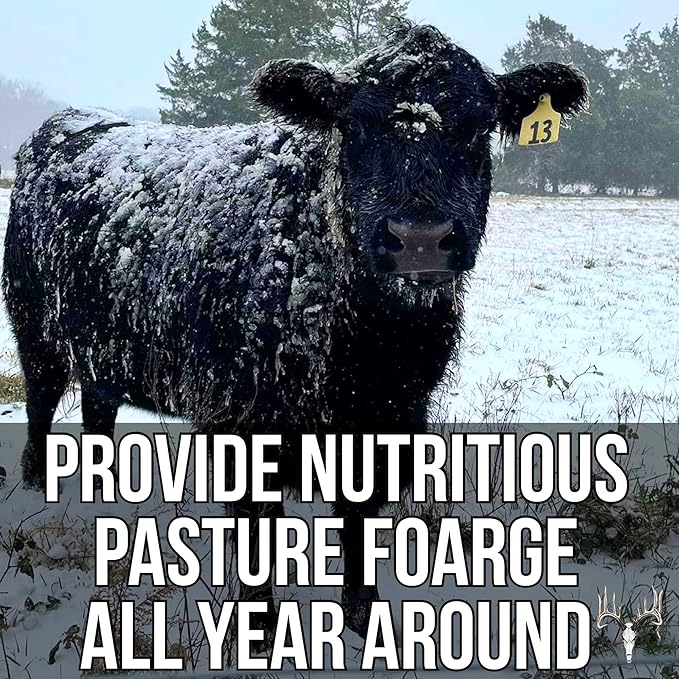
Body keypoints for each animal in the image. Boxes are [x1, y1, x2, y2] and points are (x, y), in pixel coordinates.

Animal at [3, 22, 588, 641]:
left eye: (478, 128)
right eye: (352, 126)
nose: (420, 237)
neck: (369, 350)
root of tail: (68, 119)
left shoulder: (389, 422)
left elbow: (359, 529)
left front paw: (364, 620)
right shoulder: (239, 427)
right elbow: (258, 545)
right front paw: (259, 634)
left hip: (103, 348)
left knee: (98, 408)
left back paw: (105, 496)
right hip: (34, 328)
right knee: (41, 402)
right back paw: (39, 490)